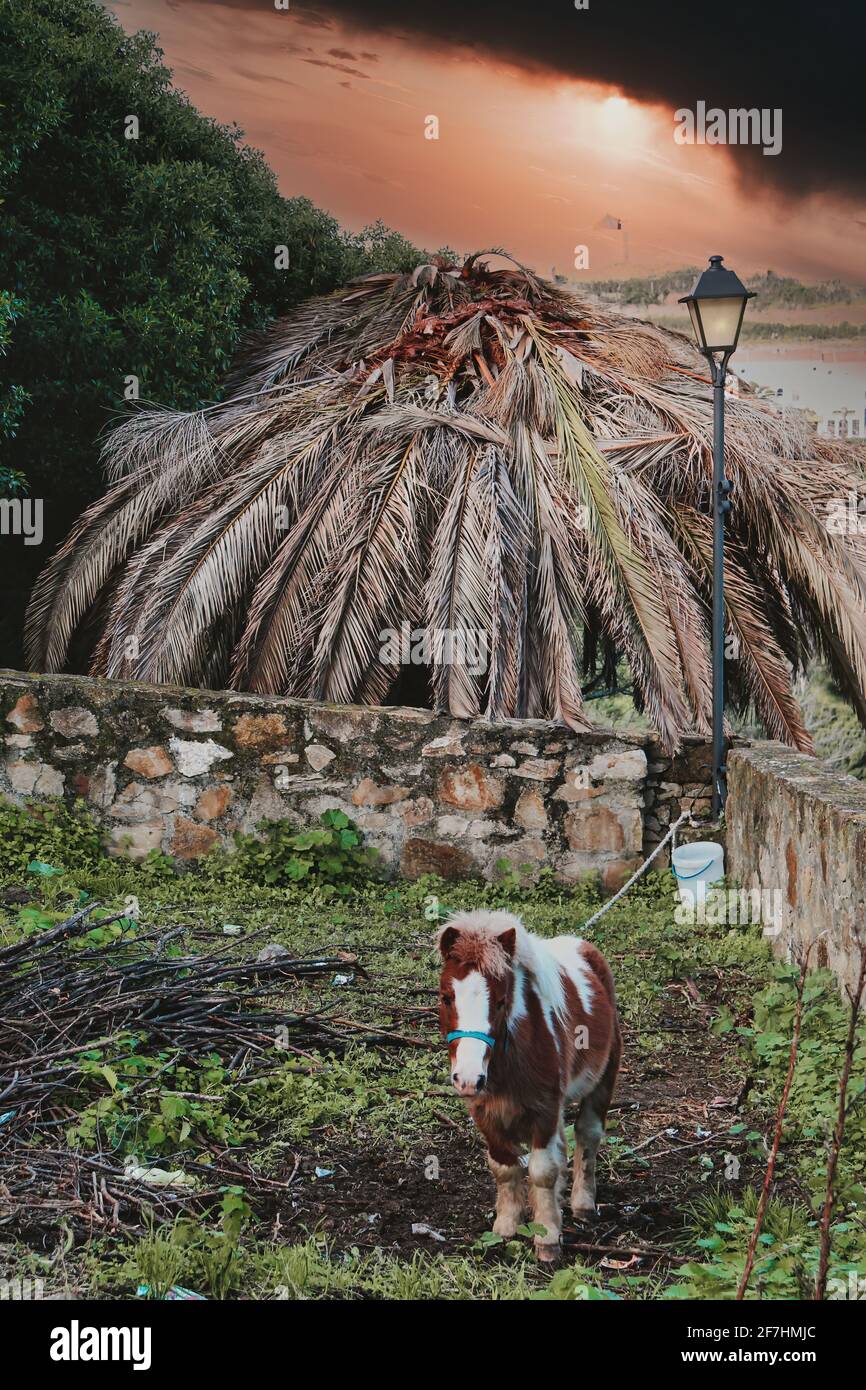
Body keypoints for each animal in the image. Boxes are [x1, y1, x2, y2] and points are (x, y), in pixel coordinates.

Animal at [436, 906, 619, 1267]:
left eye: (501, 1001)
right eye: (447, 997)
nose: (468, 1078)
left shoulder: (545, 1110)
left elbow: (543, 1170)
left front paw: (547, 1239)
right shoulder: (484, 1113)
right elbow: (504, 1168)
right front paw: (506, 1227)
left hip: (604, 1078)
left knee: (587, 1134)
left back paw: (582, 1204)